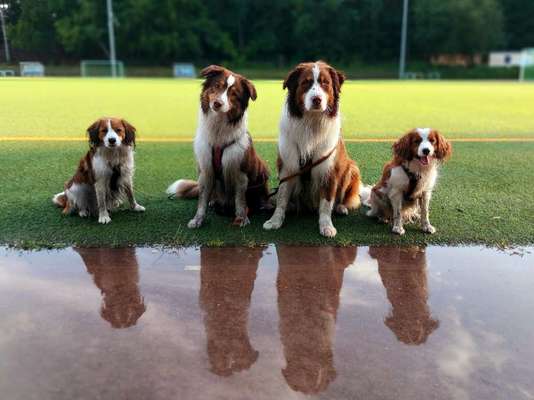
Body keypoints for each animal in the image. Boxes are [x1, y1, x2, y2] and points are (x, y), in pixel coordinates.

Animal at [166, 65, 270, 228]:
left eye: (233, 94)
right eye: (217, 86)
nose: (217, 103)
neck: (218, 128)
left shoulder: (240, 172)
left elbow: (240, 201)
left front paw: (241, 218)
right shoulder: (205, 171)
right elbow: (202, 200)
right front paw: (198, 219)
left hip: (263, 170)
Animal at [264, 61, 364, 238]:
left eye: (325, 83)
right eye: (306, 83)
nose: (316, 99)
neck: (311, 121)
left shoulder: (328, 168)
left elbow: (326, 203)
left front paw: (326, 226)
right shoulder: (288, 166)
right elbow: (282, 197)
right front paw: (275, 221)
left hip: (352, 168)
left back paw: (341, 207)